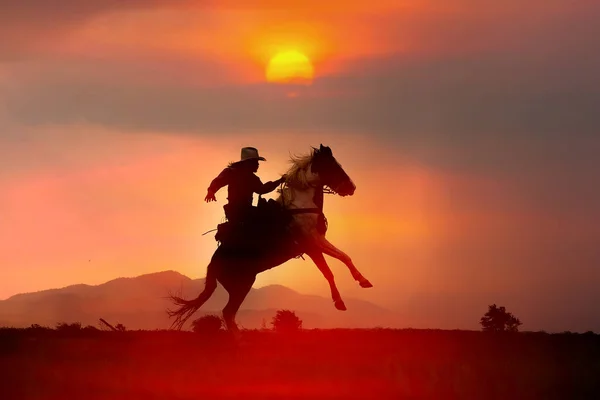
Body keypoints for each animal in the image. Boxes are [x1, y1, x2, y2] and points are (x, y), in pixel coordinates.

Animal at [169, 144, 372, 332]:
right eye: (331, 165)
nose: (351, 188)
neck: (300, 207)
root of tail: (212, 265)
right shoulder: (312, 245)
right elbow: (330, 269)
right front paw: (342, 299)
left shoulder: (316, 243)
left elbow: (343, 258)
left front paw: (361, 283)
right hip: (243, 285)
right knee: (228, 312)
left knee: (229, 313)